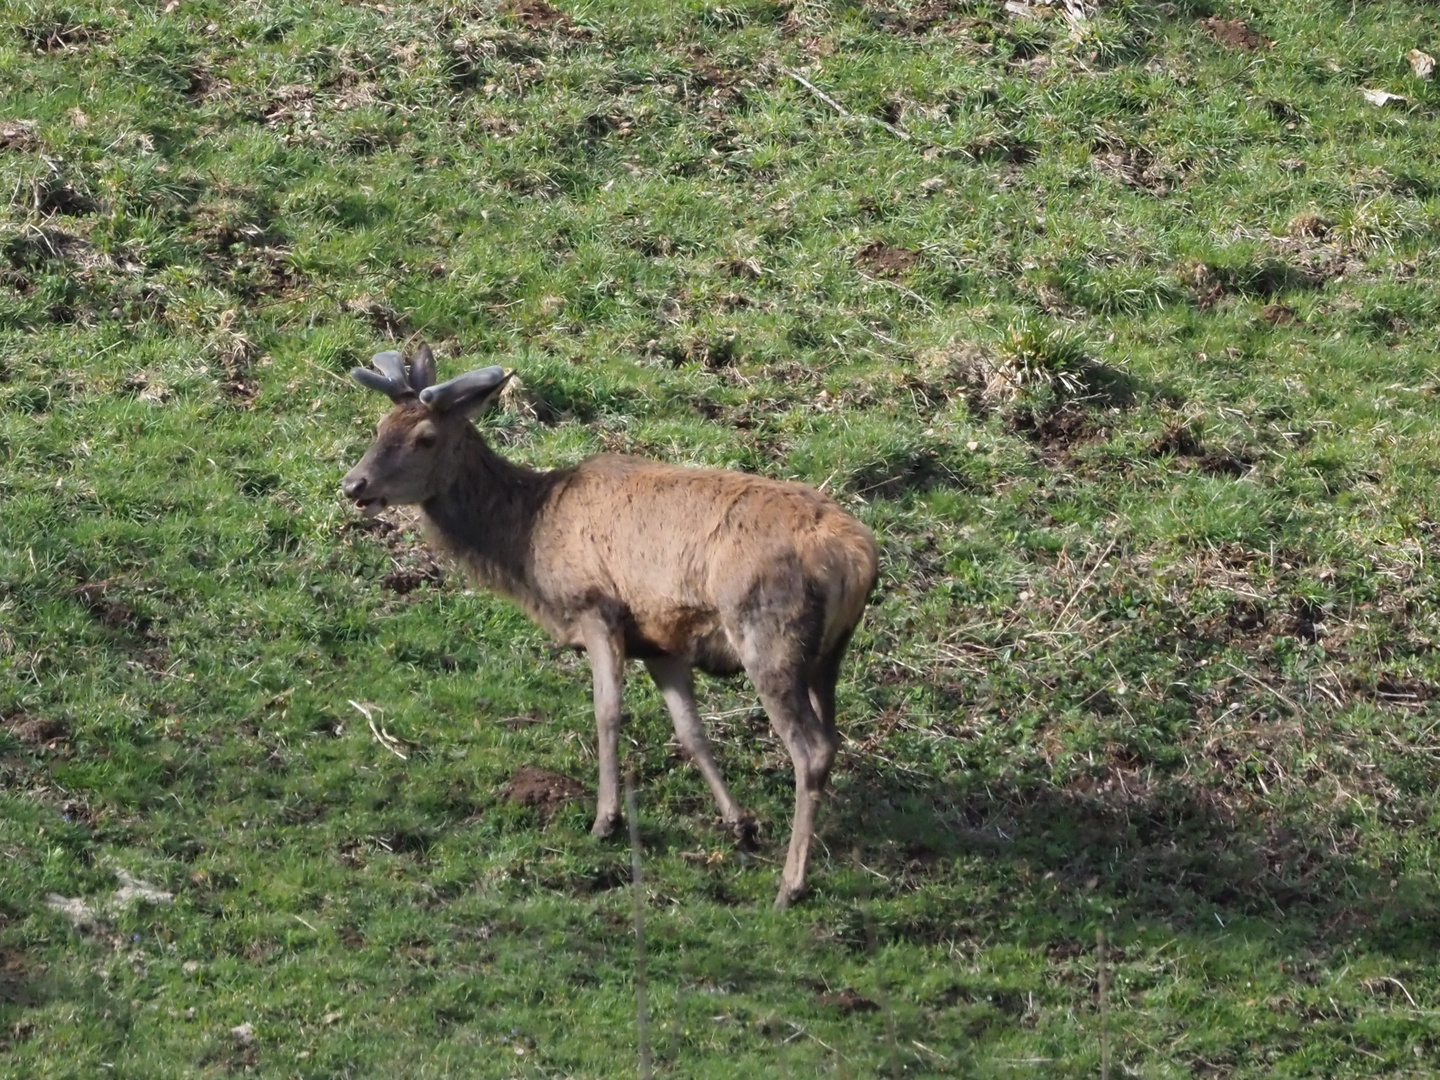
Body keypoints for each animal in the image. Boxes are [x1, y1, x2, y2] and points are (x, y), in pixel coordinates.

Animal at [339, 348, 875, 915]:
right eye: (379, 427)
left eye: (425, 437)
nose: (354, 485)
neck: (528, 544)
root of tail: (859, 557)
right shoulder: (662, 642)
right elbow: (691, 733)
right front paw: (740, 823)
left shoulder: (597, 608)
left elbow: (608, 713)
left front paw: (606, 820)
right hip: (828, 655)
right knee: (830, 739)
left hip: (769, 636)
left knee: (809, 749)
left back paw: (790, 885)